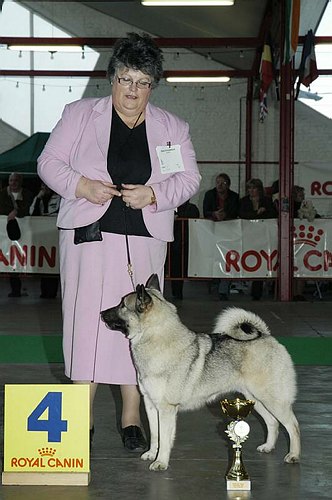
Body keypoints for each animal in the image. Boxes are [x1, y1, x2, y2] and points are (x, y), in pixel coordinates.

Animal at [101, 276, 300, 470]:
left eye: (122, 305)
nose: (101, 313)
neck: (156, 338)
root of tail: (266, 336)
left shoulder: (166, 408)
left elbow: (164, 439)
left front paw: (161, 462)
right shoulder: (150, 404)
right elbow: (155, 435)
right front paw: (152, 454)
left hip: (273, 400)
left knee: (293, 425)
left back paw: (293, 455)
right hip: (255, 400)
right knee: (272, 422)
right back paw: (268, 447)